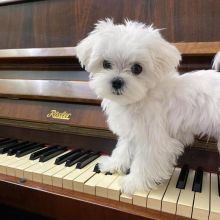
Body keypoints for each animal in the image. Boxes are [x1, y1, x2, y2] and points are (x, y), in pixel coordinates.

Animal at [75, 18, 220, 194]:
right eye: (106, 64)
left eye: (137, 68)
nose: (116, 81)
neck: (141, 97)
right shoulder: (132, 130)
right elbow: (123, 148)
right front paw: (113, 164)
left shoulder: (153, 139)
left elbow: (144, 162)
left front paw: (133, 182)